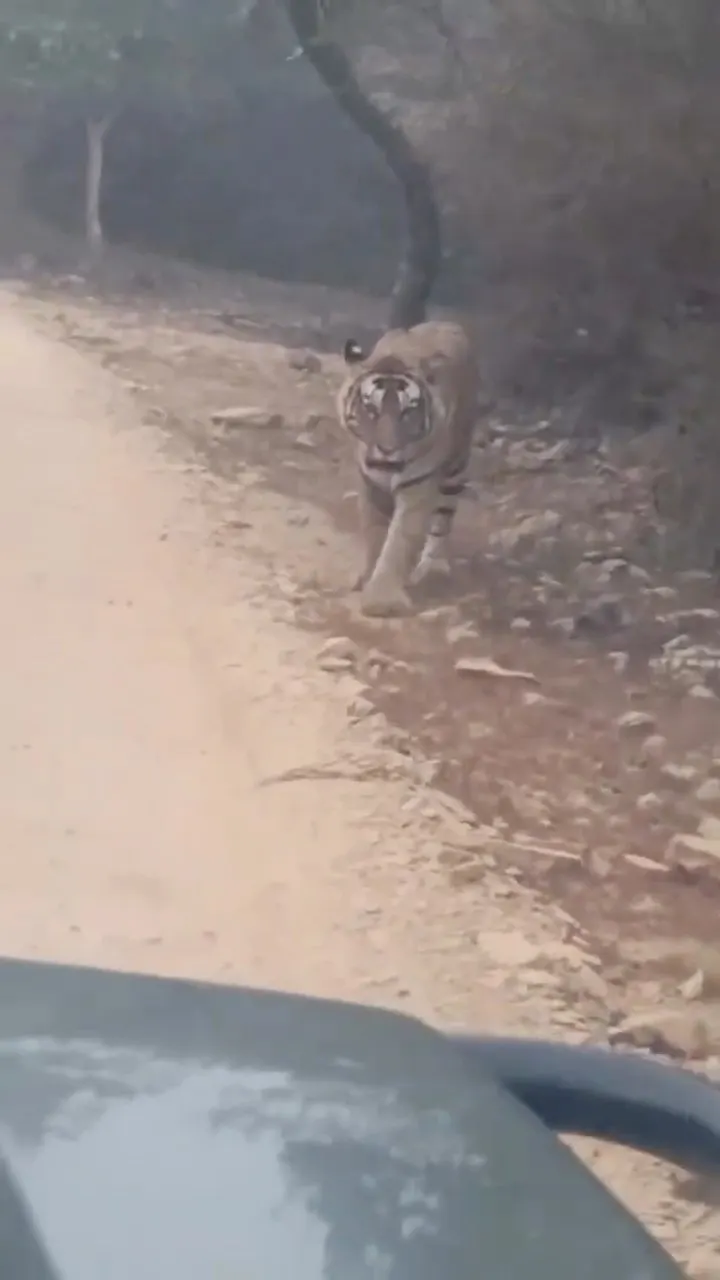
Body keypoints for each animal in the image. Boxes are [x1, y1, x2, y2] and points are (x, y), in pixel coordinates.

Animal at [336, 320, 479, 617]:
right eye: (371, 409)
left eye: (407, 411)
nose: (387, 449)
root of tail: (448, 322)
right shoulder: (369, 485)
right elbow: (374, 533)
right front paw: (365, 578)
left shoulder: (418, 487)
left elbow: (398, 541)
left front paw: (381, 600)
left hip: (455, 467)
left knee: (442, 521)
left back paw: (429, 570)